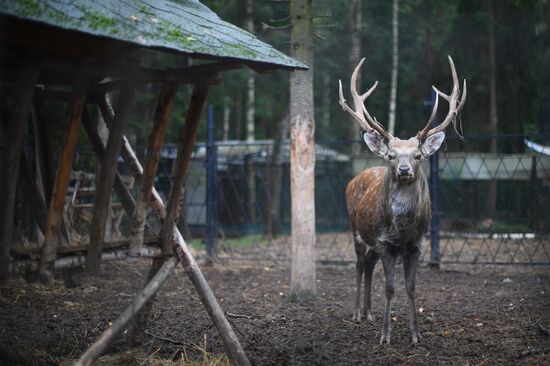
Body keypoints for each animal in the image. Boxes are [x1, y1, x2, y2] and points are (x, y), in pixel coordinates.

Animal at [340, 55, 466, 344]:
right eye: (391, 155)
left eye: (418, 155)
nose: (405, 169)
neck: (403, 229)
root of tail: (354, 179)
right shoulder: (386, 243)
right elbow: (390, 288)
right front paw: (386, 337)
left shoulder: (415, 245)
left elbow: (410, 288)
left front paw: (415, 334)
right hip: (356, 229)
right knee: (359, 265)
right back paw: (356, 312)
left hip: (373, 243)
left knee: (369, 265)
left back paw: (369, 313)